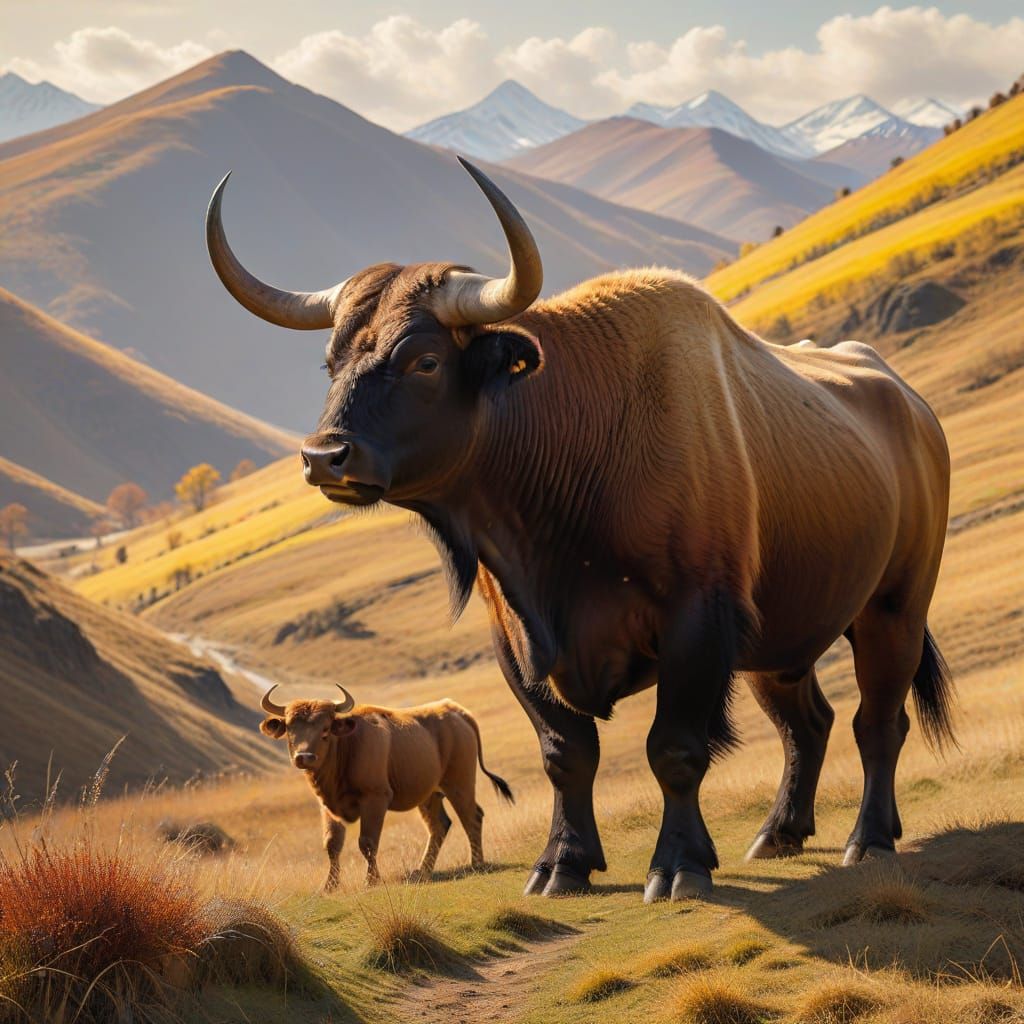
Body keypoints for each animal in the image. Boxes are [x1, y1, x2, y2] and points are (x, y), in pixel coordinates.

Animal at [258, 684, 513, 890]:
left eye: (325, 729)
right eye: (290, 730)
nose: (304, 757)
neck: (348, 745)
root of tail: (456, 711)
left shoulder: (375, 800)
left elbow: (367, 842)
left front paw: (371, 881)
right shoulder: (328, 807)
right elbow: (332, 844)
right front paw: (329, 886)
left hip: (459, 784)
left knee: (472, 817)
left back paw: (476, 863)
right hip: (430, 796)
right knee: (440, 825)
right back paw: (421, 871)